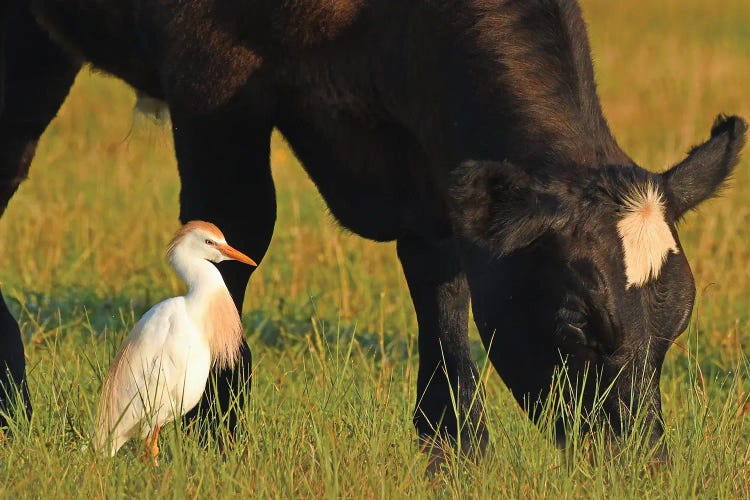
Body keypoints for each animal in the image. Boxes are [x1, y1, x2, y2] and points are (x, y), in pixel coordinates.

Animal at [0, 0, 748, 460]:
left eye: (678, 323)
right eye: (573, 322)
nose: (641, 465)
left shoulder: (429, 150)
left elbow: (443, 285)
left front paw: (452, 444)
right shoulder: (211, 75)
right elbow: (236, 229)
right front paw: (217, 429)